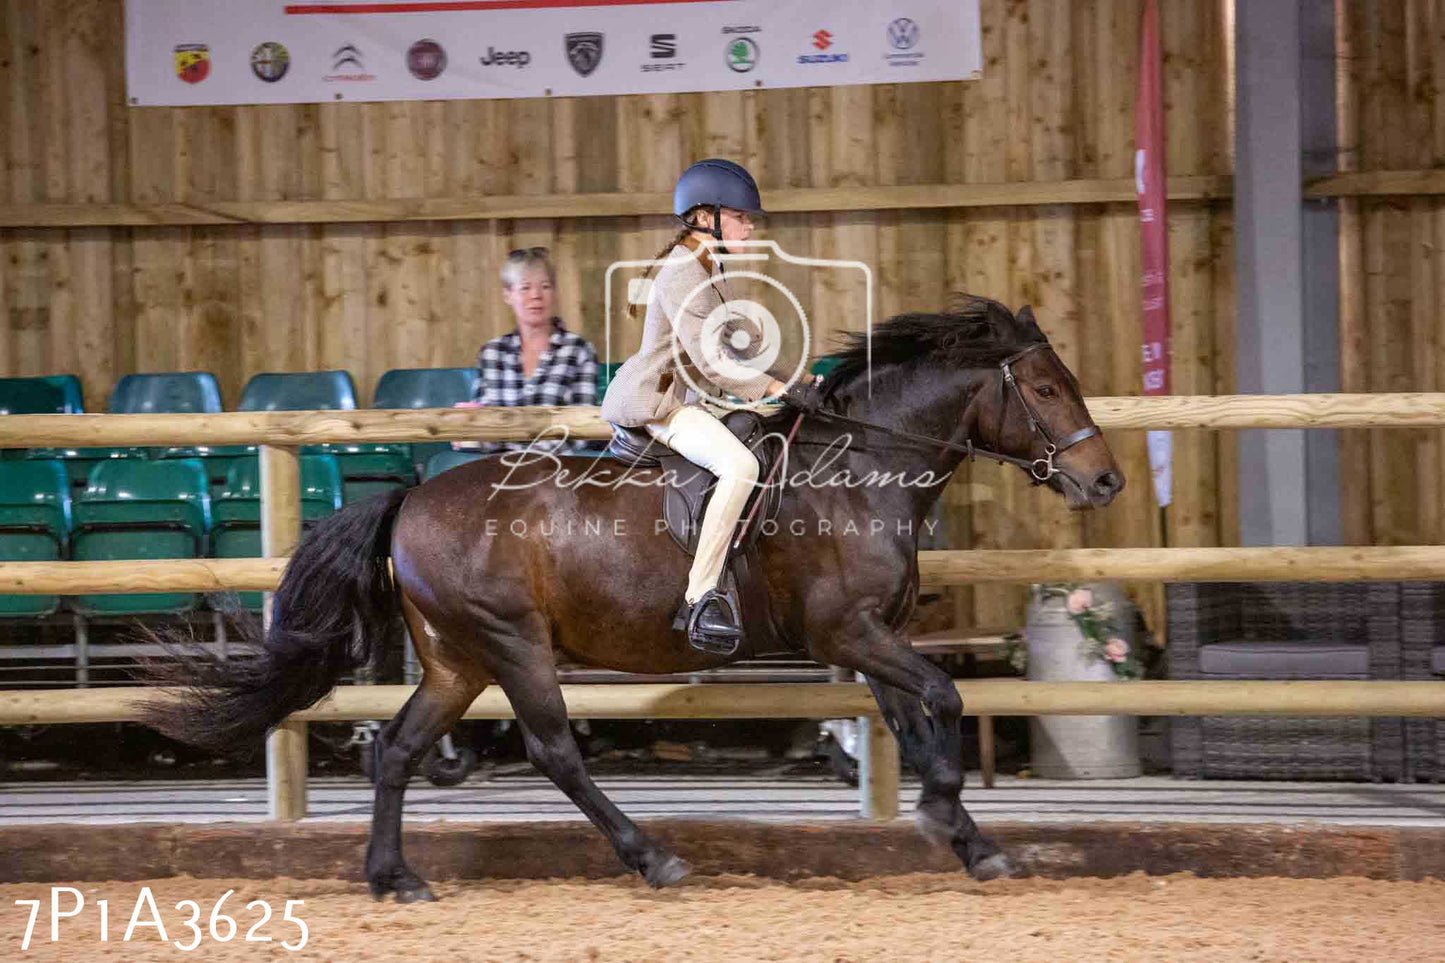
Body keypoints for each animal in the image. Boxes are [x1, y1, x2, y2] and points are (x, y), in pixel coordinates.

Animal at [140, 294, 1121, 902]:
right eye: (1043, 386)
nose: (1105, 480)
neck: (857, 472)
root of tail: (411, 497)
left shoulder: (871, 635)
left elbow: (915, 720)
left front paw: (963, 834)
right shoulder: (847, 631)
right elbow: (944, 697)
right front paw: (951, 819)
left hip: (458, 658)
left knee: (398, 749)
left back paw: (397, 877)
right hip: (513, 643)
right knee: (553, 751)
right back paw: (652, 856)